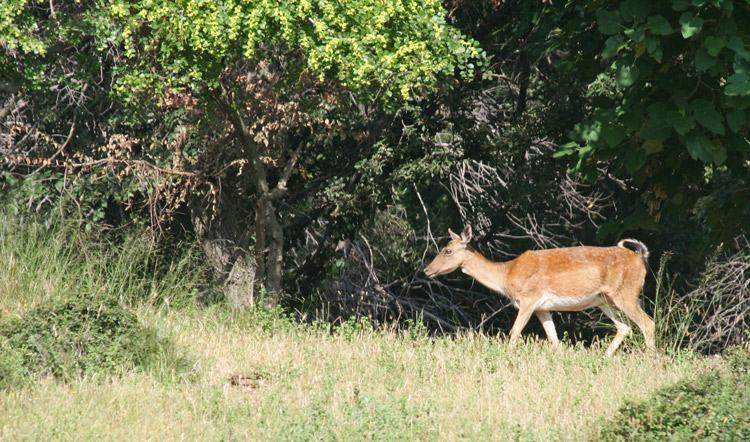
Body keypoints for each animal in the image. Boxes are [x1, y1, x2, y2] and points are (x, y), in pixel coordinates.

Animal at [426, 224, 656, 356]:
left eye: (448, 250)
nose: (427, 269)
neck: (506, 274)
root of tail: (641, 258)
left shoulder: (529, 298)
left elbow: (515, 331)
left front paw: (506, 358)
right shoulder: (542, 308)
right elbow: (553, 338)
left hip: (626, 292)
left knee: (647, 323)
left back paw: (650, 359)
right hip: (604, 300)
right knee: (625, 326)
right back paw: (604, 357)